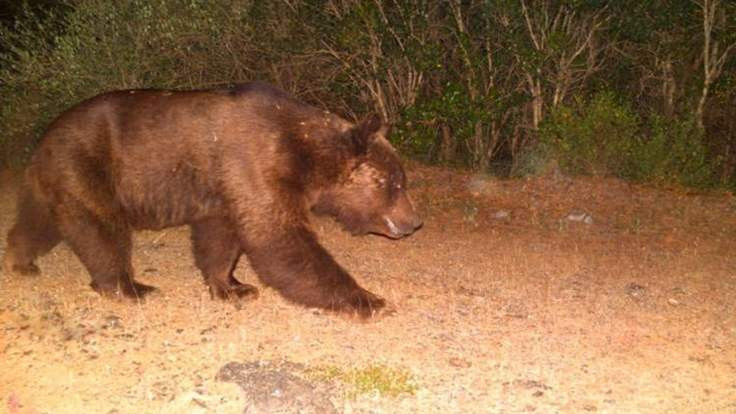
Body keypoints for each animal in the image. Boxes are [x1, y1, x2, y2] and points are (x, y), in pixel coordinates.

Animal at [4, 82, 420, 318]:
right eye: (394, 183)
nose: (414, 222)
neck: (303, 154)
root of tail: (43, 140)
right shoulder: (254, 162)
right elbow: (280, 241)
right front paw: (370, 300)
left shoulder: (224, 188)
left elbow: (220, 238)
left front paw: (233, 286)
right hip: (87, 164)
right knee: (101, 228)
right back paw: (129, 287)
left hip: (56, 179)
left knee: (41, 222)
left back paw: (21, 261)